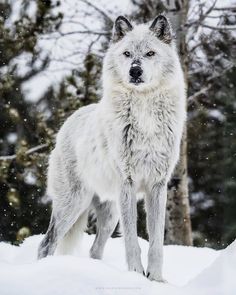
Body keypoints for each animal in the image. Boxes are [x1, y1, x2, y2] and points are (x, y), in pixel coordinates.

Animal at [38, 14, 186, 282]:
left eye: (149, 53)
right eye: (127, 54)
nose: (135, 70)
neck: (144, 113)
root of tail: (66, 124)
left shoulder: (157, 186)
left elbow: (156, 243)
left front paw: (156, 280)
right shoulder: (127, 184)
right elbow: (132, 241)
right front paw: (137, 275)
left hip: (109, 214)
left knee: (94, 250)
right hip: (73, 205)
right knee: (46, 243)